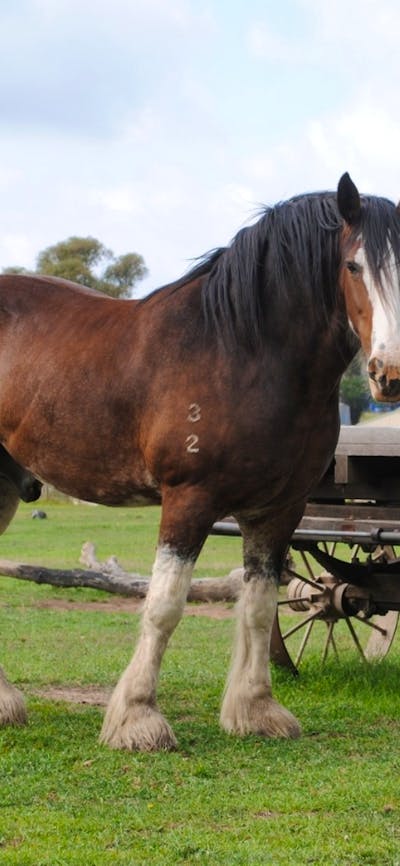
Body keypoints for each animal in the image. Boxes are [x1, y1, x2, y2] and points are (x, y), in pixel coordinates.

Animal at [1, 172, 400, 749]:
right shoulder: (190, 501)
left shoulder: (280, 510)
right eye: (353, 266)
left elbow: (259, 606)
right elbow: (164, 607)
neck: (243, 354)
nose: (389, 373)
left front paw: (256, 710)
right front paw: (138, 718)